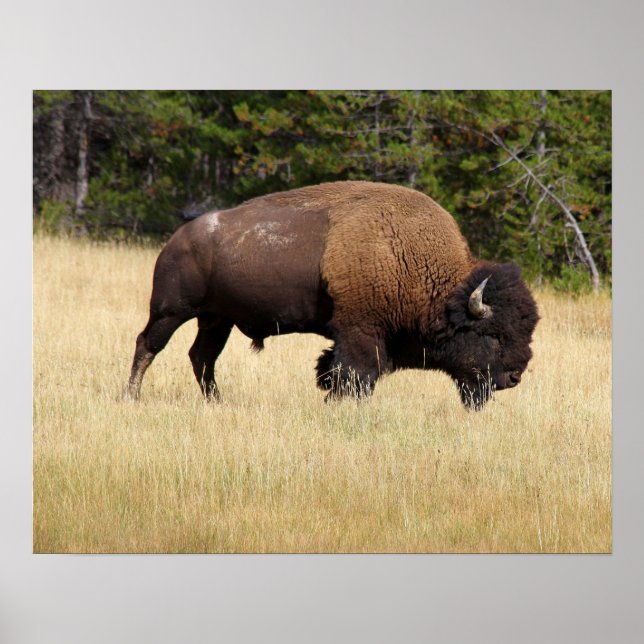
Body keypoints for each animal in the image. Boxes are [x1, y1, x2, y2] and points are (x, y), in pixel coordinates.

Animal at [124, 181, 539, 409]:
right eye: (492, 335)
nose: (514, 376)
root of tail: (179, 237)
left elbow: (335, 371)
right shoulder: (360, 330)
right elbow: (356, 374)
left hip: (216, 319)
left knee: (202, 357)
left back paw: (217, 402)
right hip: (171, 309)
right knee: (148, 344)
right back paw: (131, 396)